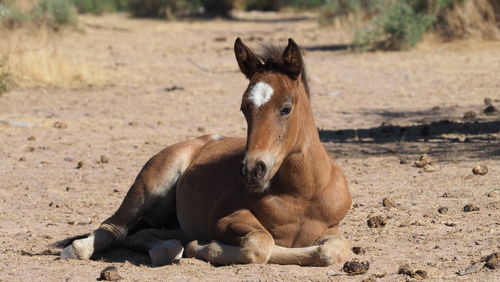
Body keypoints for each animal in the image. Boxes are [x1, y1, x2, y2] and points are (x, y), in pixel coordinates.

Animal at [61, 38, 352, 266]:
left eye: (286, 108)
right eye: (244, 108)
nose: (253, 169)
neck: (302, 193)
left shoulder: (332, 229)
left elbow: (332, 252)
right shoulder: (225, 219)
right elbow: (261, 244)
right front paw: (201, 246)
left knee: (142, 233)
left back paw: (166, 248)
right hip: (151, 183)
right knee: (114, 227)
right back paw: (78, 249)